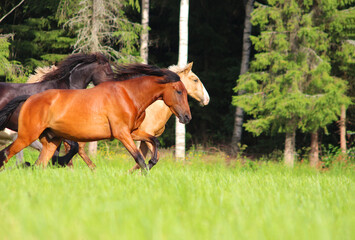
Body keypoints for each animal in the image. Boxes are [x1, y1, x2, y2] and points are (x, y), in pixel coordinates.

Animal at [0, 64, 192, 172]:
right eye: (179, 91)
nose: (187, 117)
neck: (129, 95)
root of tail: (29, 98)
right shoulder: (122, 134)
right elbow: (138, 157)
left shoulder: (133, 132)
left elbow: (154, 142)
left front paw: (152, 162)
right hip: (27, 136)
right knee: (6, 153)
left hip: (51, 140)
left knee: (40, 165)